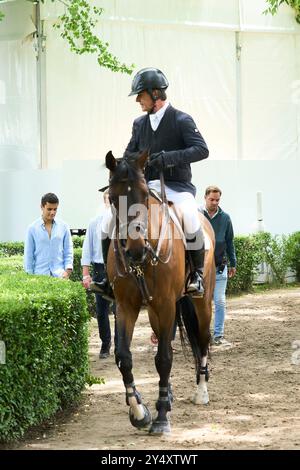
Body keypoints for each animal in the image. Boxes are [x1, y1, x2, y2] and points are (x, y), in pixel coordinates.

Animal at [104, 150, 214, 434]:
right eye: (113, 197)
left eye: (145, 196)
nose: (134, 250)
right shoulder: (126, 306)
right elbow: (123, 357)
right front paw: (139, 411)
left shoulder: (166, 305)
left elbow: (164, 358)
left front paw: (162, 416)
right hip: (153, 310)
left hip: (202, 302)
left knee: (203, 340)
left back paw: (201, 392)